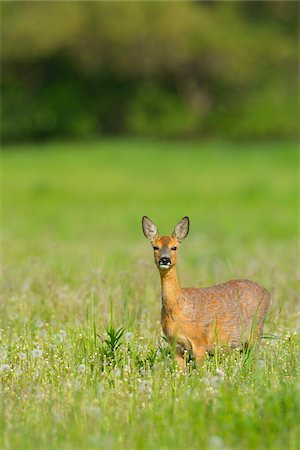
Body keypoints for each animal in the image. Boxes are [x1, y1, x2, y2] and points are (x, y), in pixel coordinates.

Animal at [142, 217, 270, 370]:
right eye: (155, 247)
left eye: (174, 247)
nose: (165, 259)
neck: (177, 308)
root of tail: (267, 292)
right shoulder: (176, 345)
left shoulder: (200, 342)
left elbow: (200, 371)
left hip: (255, 331)